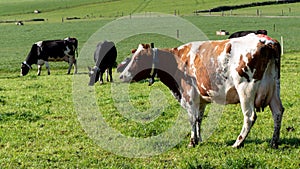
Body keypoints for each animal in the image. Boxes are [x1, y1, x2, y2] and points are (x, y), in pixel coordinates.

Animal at [119, 33, 284, 149]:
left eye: (138, 59)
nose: (121, 75)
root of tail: (268, 41)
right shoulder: (201, 99)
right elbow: (199, 119)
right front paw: (199, 140)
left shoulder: (189, 96)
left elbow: (192, 119)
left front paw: (192, 142)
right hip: (274, 88)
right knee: (278, 112)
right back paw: (273, 142)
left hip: (245, 89)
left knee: (249, 116)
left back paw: (238, 143)